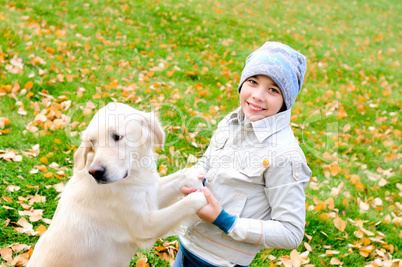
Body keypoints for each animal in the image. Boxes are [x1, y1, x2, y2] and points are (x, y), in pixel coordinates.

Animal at [27, 103, 207, 267]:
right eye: (92, 142)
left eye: (116, 136)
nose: (95, 172)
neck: (132, 175)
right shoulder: (145, 227)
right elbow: (185, 204)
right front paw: (203, 198)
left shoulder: (149, 194)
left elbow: (180, 176)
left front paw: (192, 177)